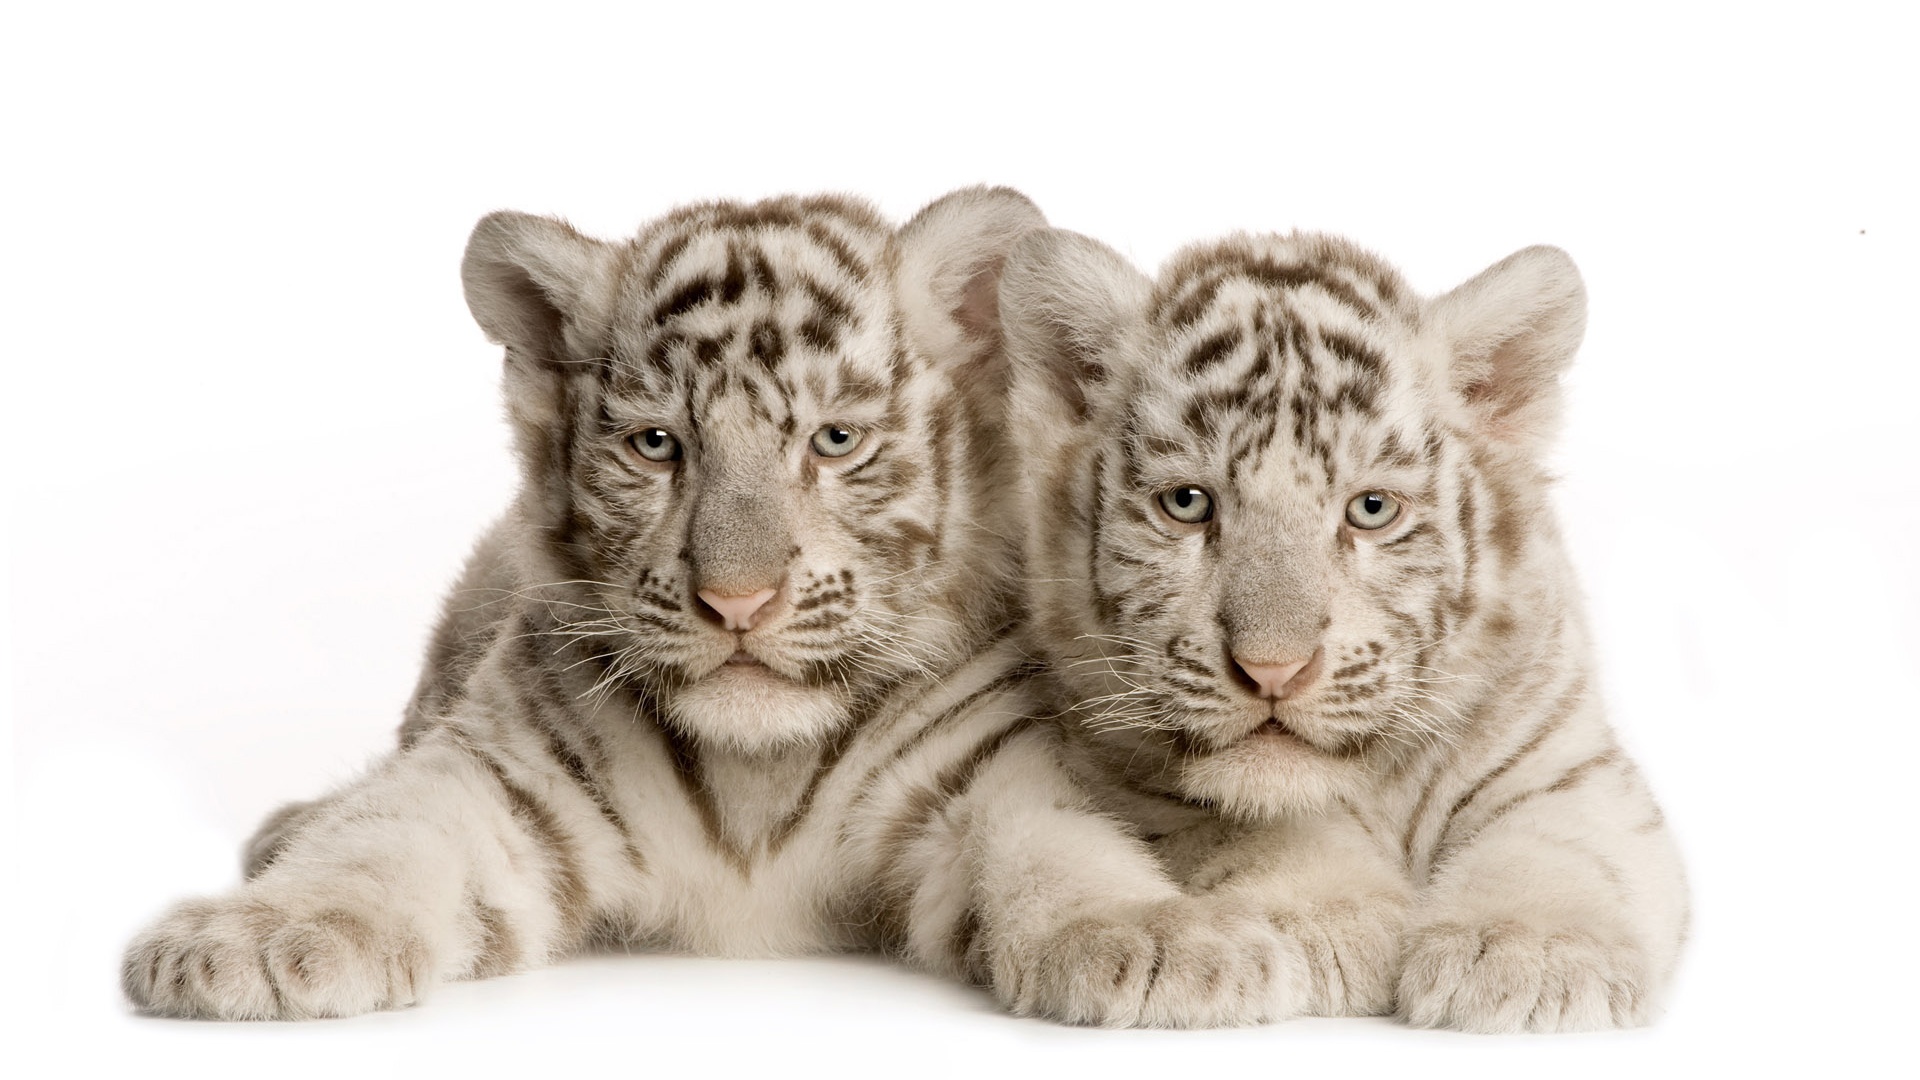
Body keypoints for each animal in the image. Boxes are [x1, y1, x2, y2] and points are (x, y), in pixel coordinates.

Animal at [121, 188, 1305, 1027]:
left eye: (834, 440)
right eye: (658, 445)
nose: (738, 599)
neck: (756, 778)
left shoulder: (989, 775)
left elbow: (1066, 852)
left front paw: (1168, 942)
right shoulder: (499, 772)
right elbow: (382, 838)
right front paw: (256, 938)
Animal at [993, 226, 1690, 1033]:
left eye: (1371, 510)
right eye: (1188, 503)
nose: (1272, 670)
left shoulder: (1570, 762)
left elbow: (1565, 844)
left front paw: (1531, 954)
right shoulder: (1123, 772)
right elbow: (1258, 828)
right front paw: (1327, 921)